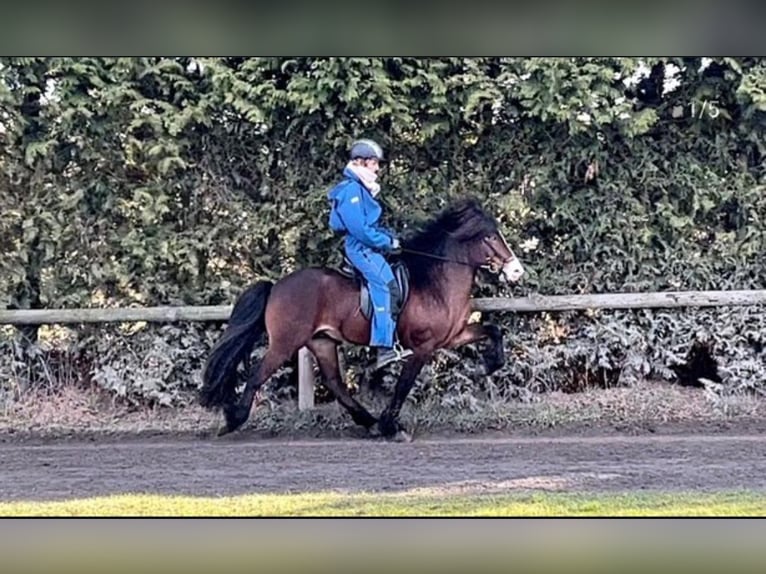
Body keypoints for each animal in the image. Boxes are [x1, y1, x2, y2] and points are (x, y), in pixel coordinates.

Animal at [200, 196, 528, 444]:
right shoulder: (423, 346)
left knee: (335, 383)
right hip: (285, 343)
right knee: (258, 375)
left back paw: (367, 422)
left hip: (322, 341)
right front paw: (391, 427)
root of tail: (276, 286)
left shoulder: (452, 336)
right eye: (490, 237)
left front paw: (489, 365)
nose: (516, 271)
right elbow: (403, 386)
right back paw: (232, 420)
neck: (436, 282)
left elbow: (494, 330)